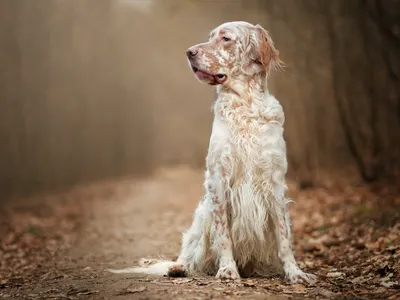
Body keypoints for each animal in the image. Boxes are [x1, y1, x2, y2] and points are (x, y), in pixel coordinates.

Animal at [109, 21, 316, 284]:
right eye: (210, 37)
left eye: (225, 38)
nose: (189, 52)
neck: (245, 105)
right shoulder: (219, 180)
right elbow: (223, 234)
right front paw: (227, 269)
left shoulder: (276, 183)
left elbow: (284, 237)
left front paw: (294, 272)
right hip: (201, 216)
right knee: (189, 253)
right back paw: (178, 267)